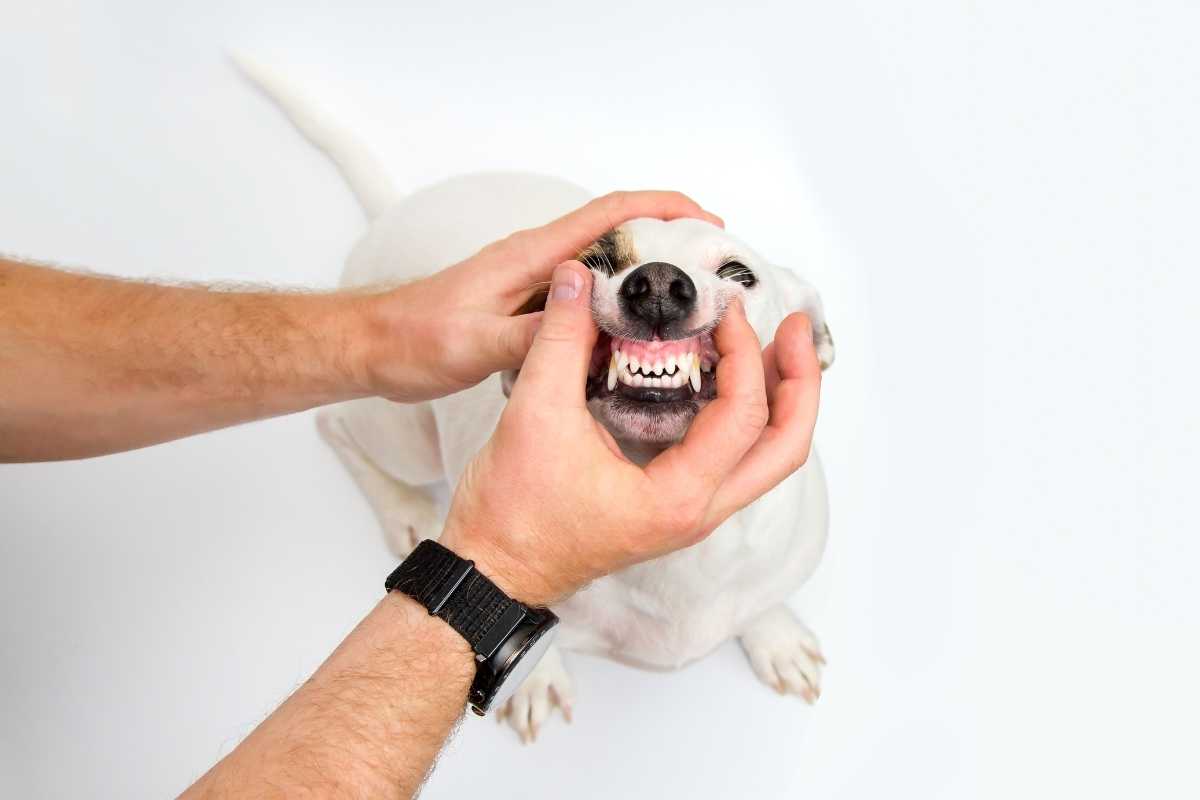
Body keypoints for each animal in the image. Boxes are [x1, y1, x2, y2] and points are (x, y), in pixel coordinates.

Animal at [234, 59, 835, 743]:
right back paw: (402, 506)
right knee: (334, 425)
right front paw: (537, 680)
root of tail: (395, 212)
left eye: (740, 274)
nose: (657, 284)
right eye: (595, 262)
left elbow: (761, 600)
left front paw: (773, 632)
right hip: (403, 434)